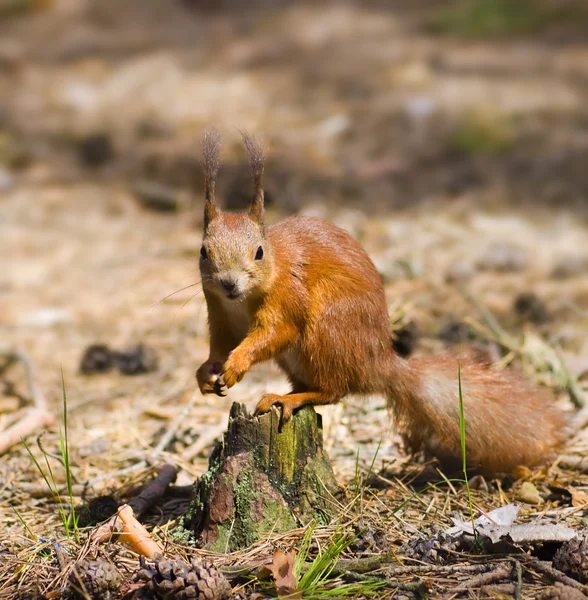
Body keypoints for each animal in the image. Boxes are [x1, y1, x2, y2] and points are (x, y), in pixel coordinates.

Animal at [196, 130, 564, 474]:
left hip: (327, 333)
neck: (242, 299)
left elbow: (276, 332)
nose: (229, 283)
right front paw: (207, 372)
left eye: (259, 252)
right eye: (203, 251)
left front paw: (237, 364)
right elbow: (222, 344)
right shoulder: (220, 312)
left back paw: (288, 399)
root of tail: (377, 362)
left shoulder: (287, 296)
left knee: (333, 390)